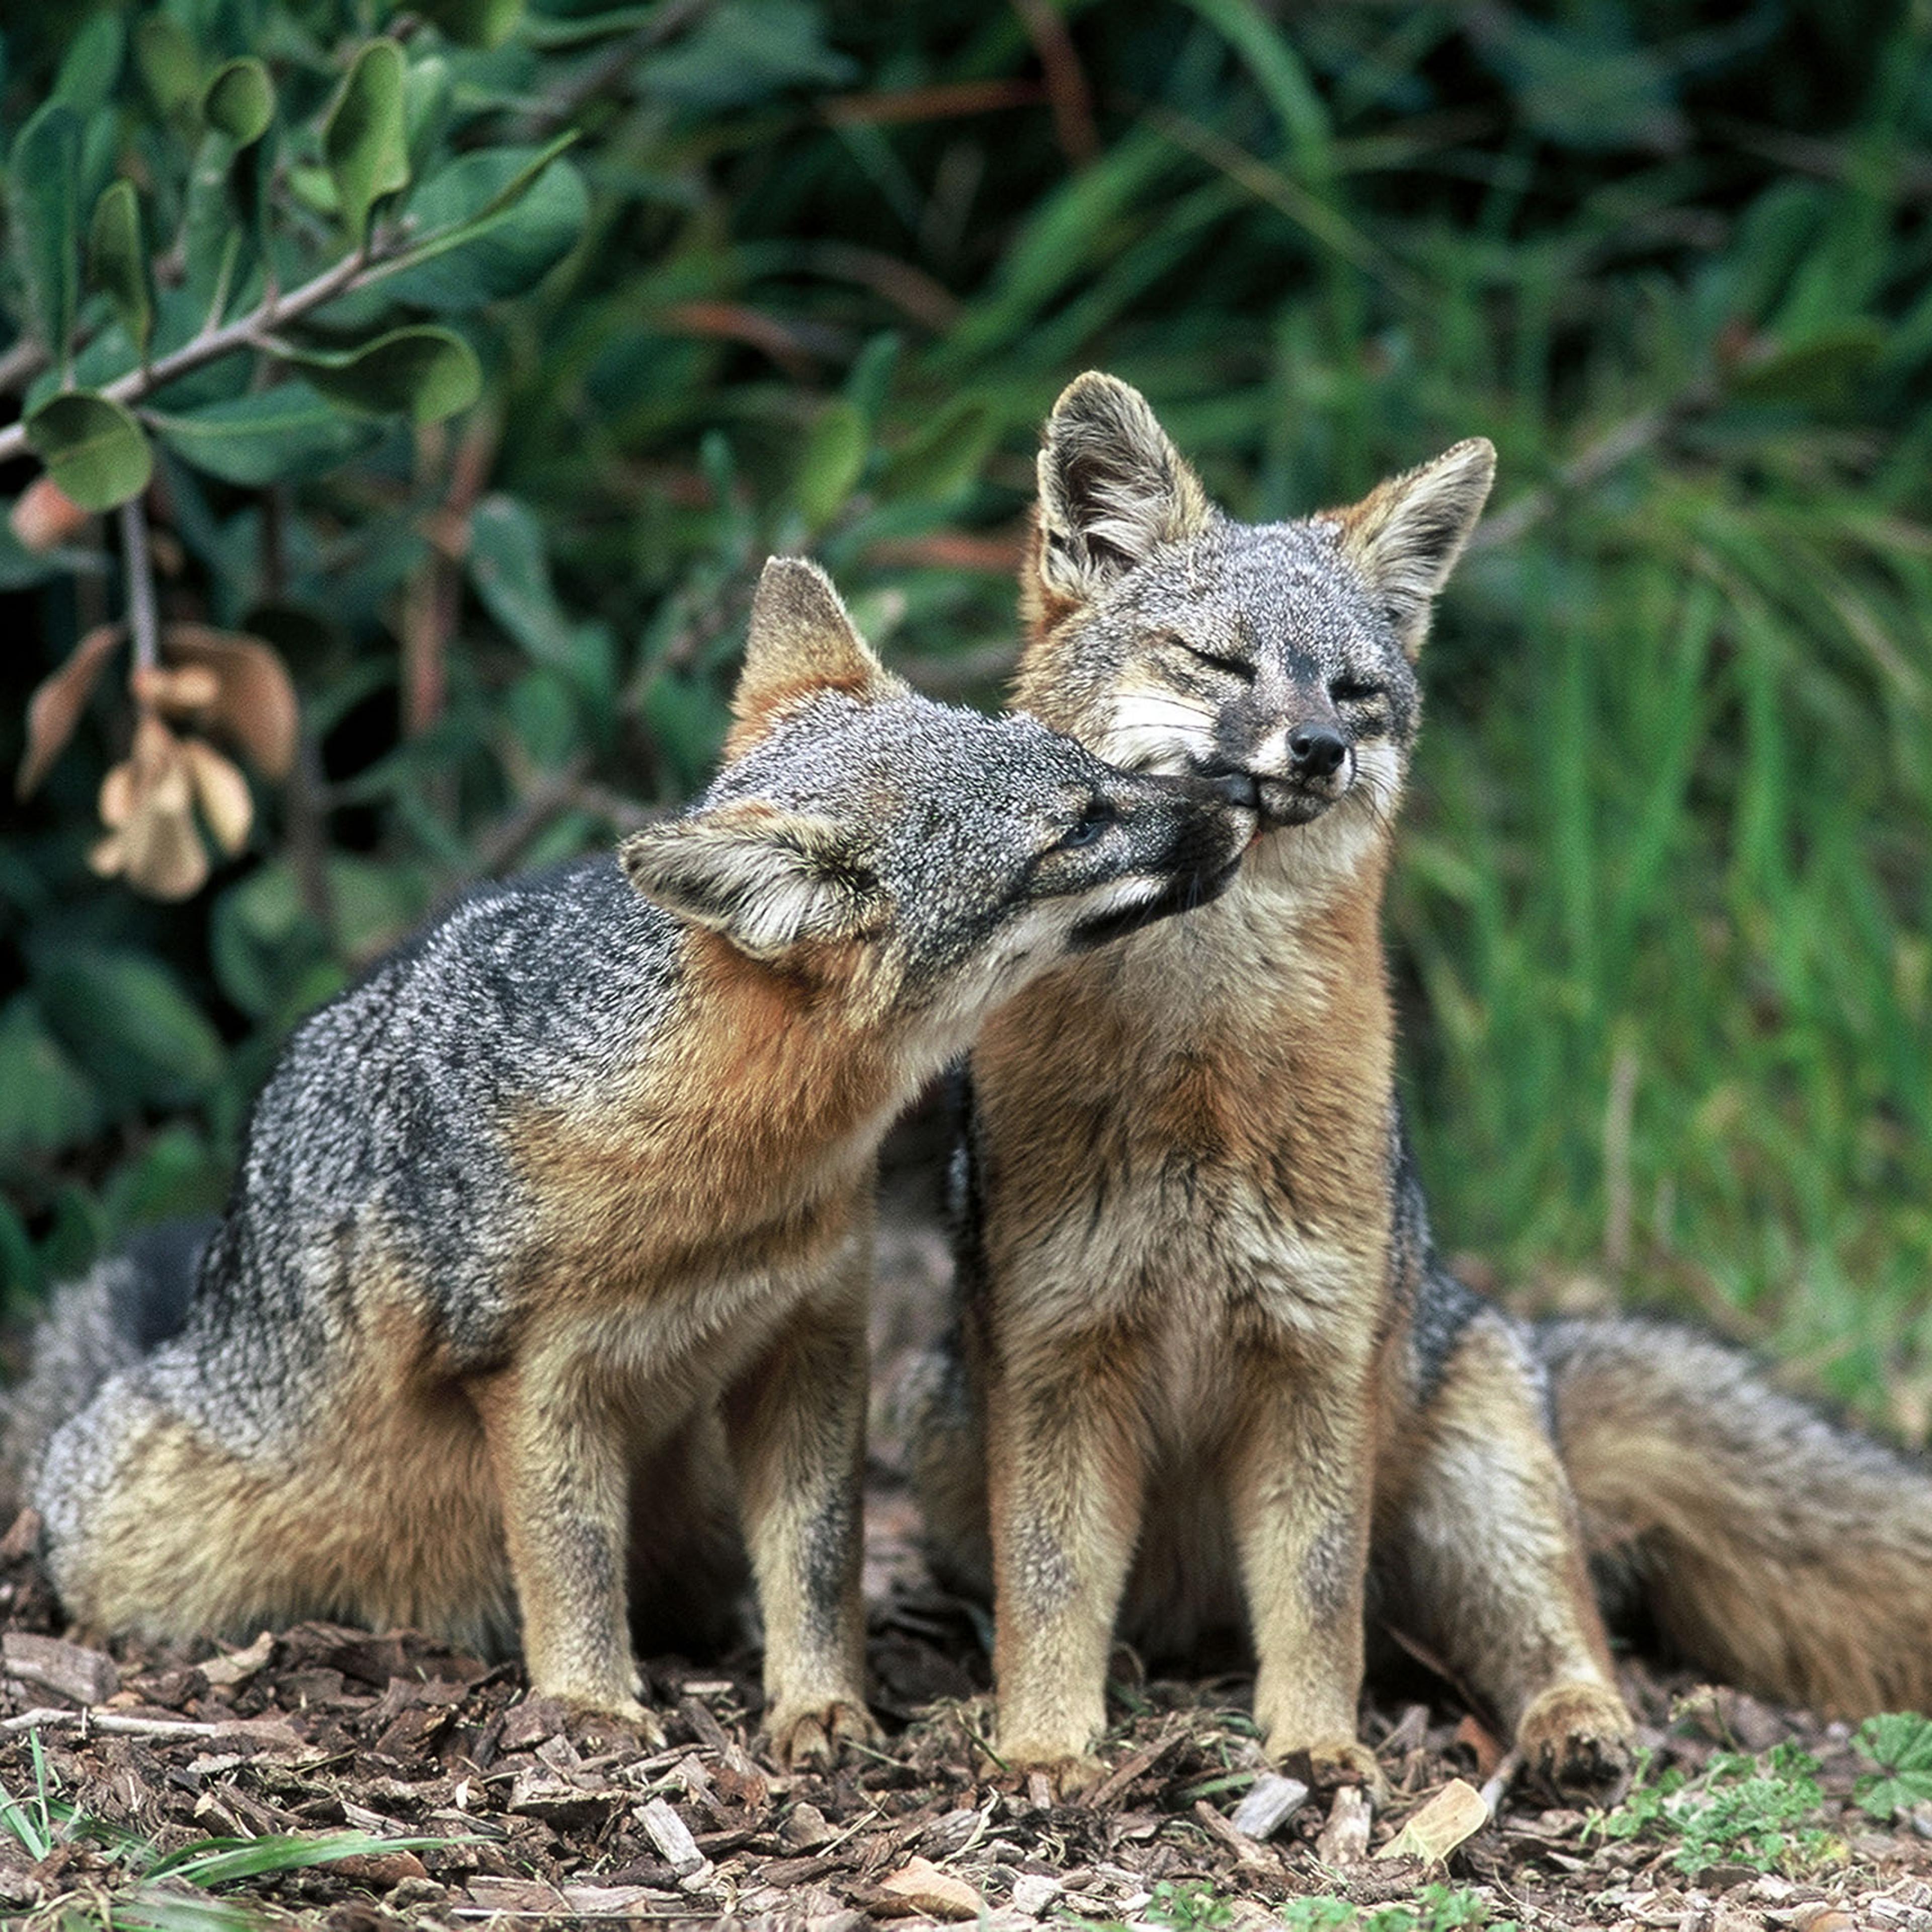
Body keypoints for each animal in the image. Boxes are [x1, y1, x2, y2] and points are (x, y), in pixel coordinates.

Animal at [2, 554, 1256, 1763]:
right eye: (1075, 828)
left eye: (1097, 768)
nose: (1242, 796)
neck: (727, 1187)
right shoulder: (533, 1379)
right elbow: (570, 1562)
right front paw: (591, 1708)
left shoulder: (813, 1337)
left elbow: (821, 1561)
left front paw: (819, 1708)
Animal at [909, 373, 1932, 1804]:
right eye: (1216, 662)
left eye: (1354, 689)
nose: (1319, 746)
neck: (1200, 1078)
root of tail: (1499, 1318)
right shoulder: (1060, 1358)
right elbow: (1051, 1593)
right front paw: (1048, 1746)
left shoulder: (1317, 1363)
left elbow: (1315, 1598)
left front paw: (1316, 1747)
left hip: (1474, 1493)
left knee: (1553, 1633)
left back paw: (1574, 1727)